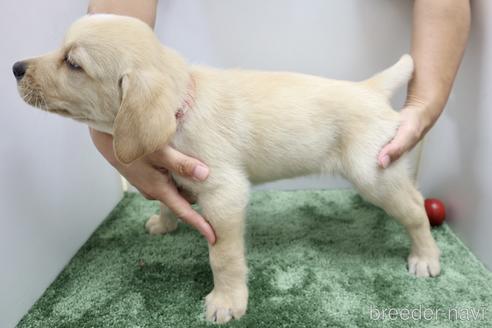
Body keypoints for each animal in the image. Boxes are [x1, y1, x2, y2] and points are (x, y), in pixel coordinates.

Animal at [13, 14, 440, 322]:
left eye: (73, 63)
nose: (16, 67)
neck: (182, 104)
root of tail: (368, 89)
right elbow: (167, 195)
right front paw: (164, 221)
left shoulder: (224, 193)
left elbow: (223, 257)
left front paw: (227, 301)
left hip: (375, 174)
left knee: (416, 209)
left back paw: (426, 256)